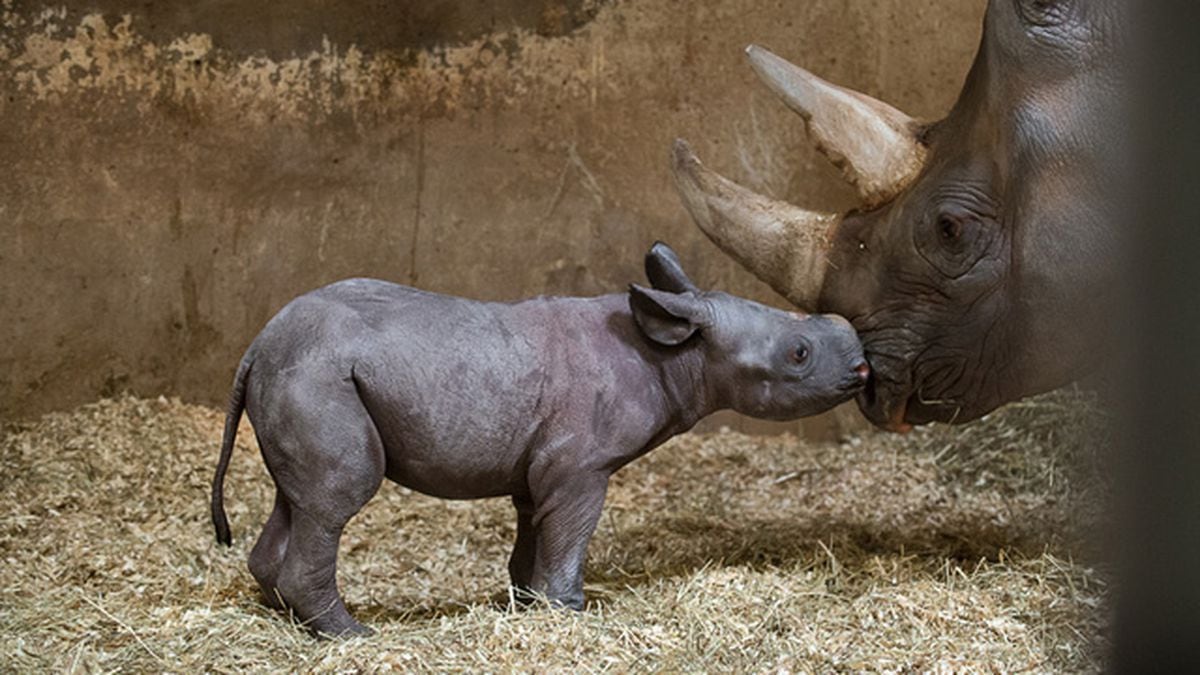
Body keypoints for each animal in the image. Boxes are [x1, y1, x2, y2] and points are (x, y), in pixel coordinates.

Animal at [206, 242, 864, 634]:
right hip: (320, 376)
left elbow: (532, 529)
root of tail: (257, 345)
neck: (677, 350)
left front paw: (525, 604)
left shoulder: (540, 461)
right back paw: (352, 636)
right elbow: (571, 530)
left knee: (298, 498)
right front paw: (571, 610)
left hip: (304, 374)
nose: (861, 367)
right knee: (338, 495)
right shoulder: (581, 466)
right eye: (799, 354)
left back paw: (285, 618)